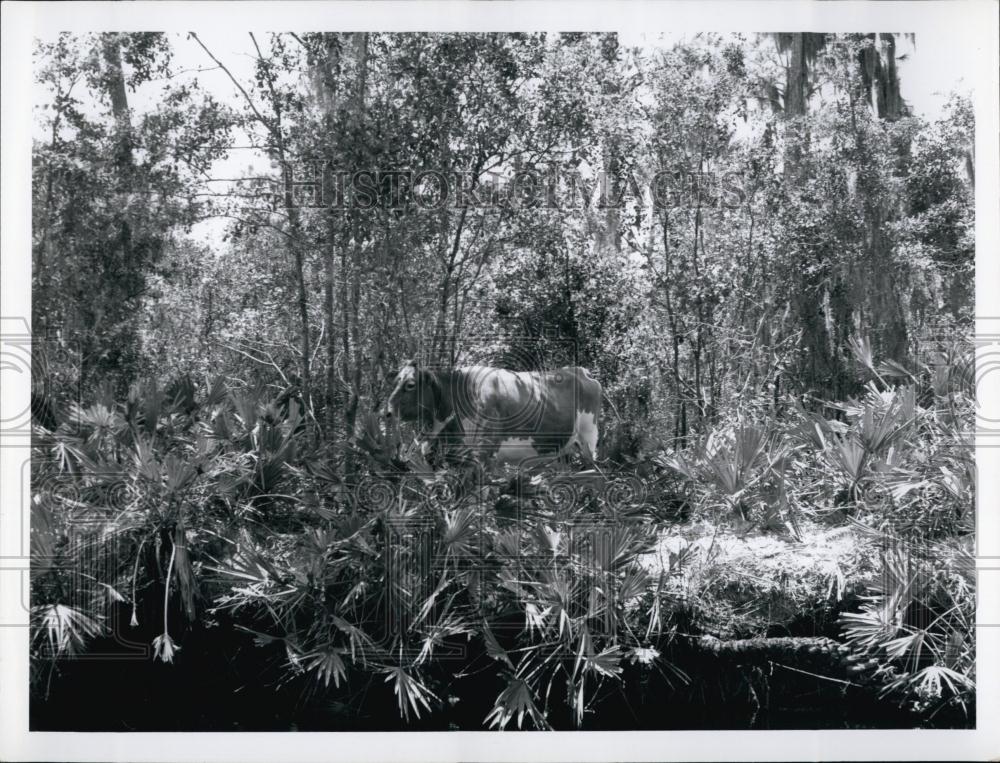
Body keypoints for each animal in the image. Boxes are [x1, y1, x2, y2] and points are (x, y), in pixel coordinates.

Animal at [382, 362, 600, 468]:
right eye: (395, 382)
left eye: (410, 385)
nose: (387, 412)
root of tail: (580, 370)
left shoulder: (484, 452)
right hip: (565, 452)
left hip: (589, 442)